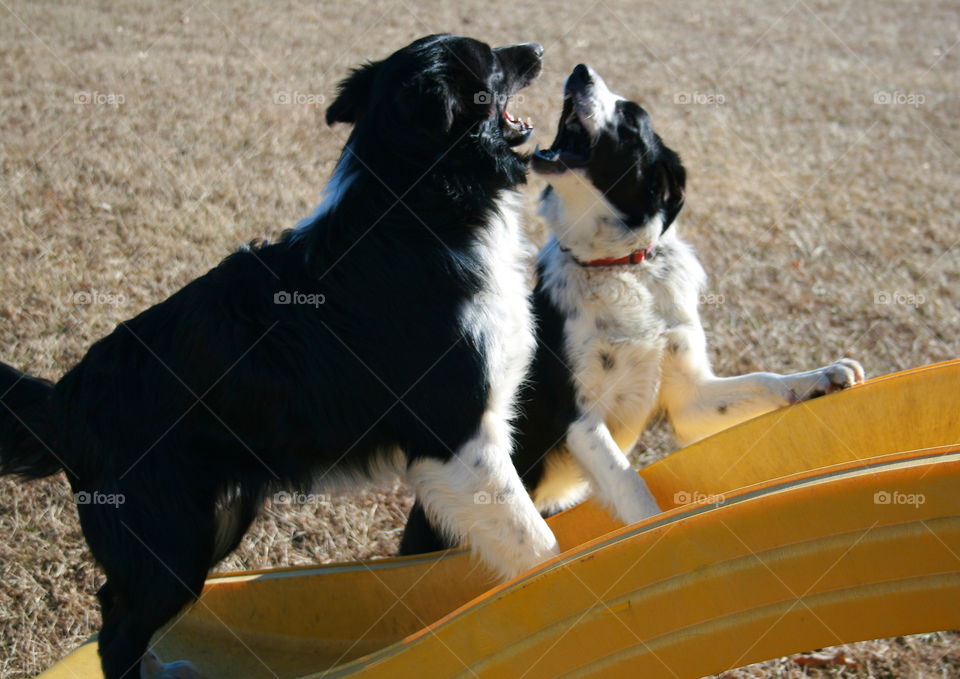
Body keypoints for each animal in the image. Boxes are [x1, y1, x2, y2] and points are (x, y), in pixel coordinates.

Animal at [0, 37, 556, 679]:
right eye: (489, 61)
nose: (537, 48)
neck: (426, 203)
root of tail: (65, 398)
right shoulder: (459, 436)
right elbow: (539, 550)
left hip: (214, 520)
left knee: (114, 604)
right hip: (170, 545)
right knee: (118, 633)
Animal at [402, 62, 868, 552]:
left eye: (629, 117)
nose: (580, 70)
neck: (618, 265)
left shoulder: (689, 396)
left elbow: (763, 380)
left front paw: (821, 377)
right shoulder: (580, 417)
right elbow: (630, 483)